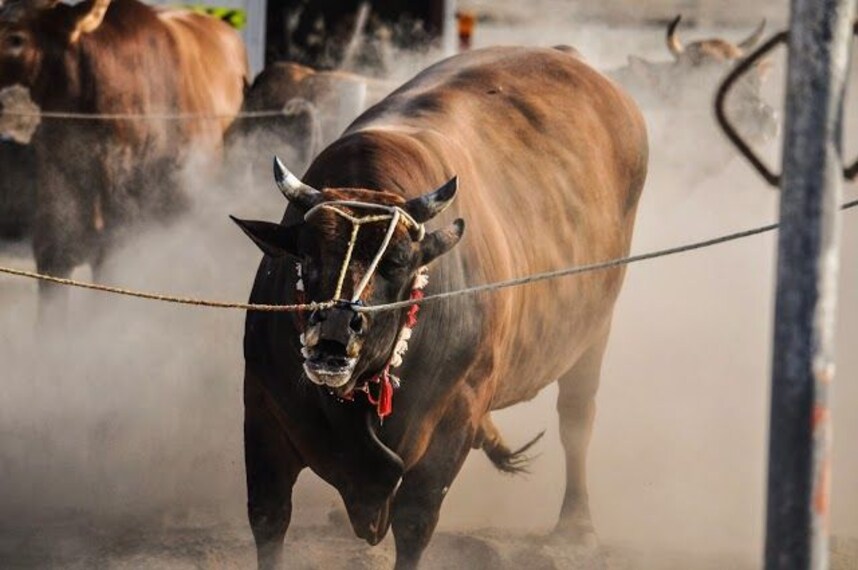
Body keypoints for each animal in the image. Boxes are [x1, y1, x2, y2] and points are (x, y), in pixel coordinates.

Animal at [231, 45, 648, 569]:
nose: (332, 338)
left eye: (398, 263)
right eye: (306, 258)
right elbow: (268, 518)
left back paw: (576, 526)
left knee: (576, 419)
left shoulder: (454, 421)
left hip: (595, 330)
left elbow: (414, 522)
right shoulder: (262, 411)